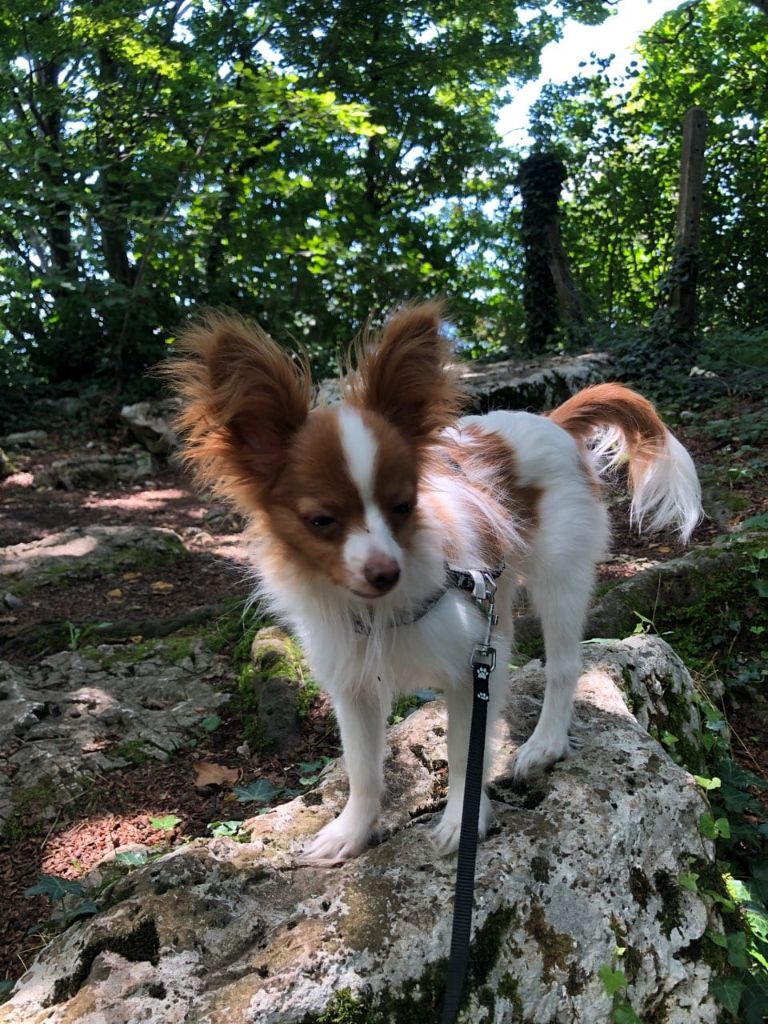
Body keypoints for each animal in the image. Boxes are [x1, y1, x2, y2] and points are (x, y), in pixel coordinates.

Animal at [166, 301, 704, 864]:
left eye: (404, 506)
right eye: (321, 521)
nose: (385, 571)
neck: (379, 609)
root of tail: (551, 422)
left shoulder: (471, 668)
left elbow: (466, 754)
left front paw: (462, 821)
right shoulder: (353, 685)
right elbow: (362, 768)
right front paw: (350, 831)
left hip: (560, 577)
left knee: (563, 665)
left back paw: (544, 744)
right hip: (499, 589)